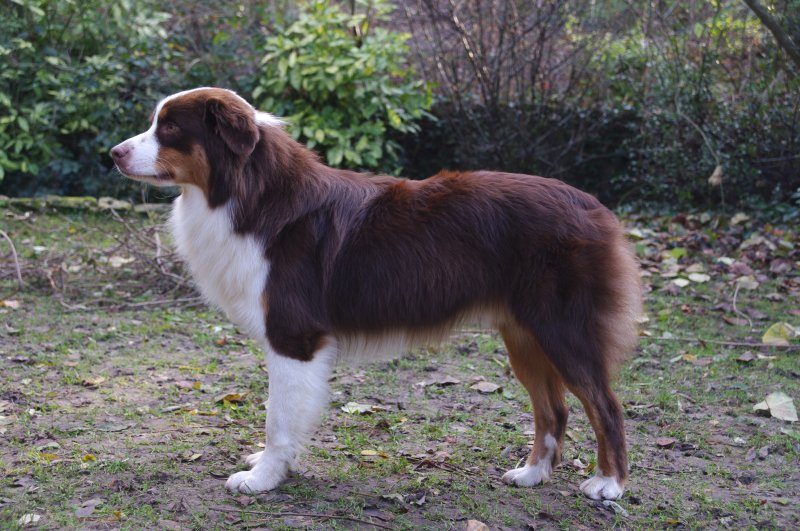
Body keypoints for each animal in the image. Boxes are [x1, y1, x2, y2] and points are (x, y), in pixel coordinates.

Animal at [109, 88, 640, 502]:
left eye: (169, 127)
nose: (113, 153)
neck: (248, 192)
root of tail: (595, 207)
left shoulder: (293, 336)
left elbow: (278, 418)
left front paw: (263, 478)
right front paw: (271, 467)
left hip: (563, 329)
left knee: (606, 405)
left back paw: (609, 484)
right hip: (523, 334)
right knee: (554, 408)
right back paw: (532, 473)